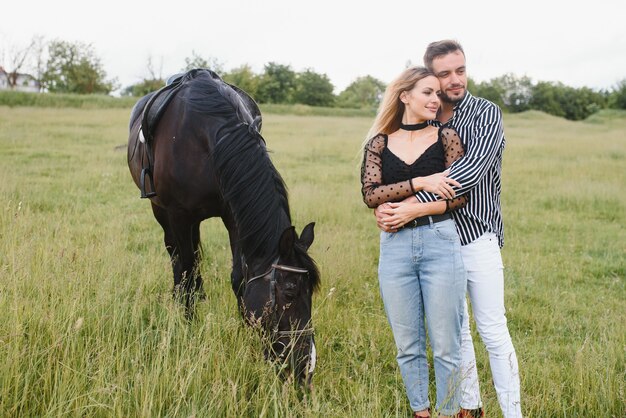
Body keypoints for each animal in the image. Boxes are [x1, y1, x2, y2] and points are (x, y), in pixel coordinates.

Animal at [128, 68, 322, 386]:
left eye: (311, 293)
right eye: (290, 292)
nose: (304, 365)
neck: (209, 137)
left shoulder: (233, 215)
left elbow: (239, 278)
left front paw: (244, 331)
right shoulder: (178, 214)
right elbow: (185, 266)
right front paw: (188, 322)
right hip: (161, 212)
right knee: (177, 256)